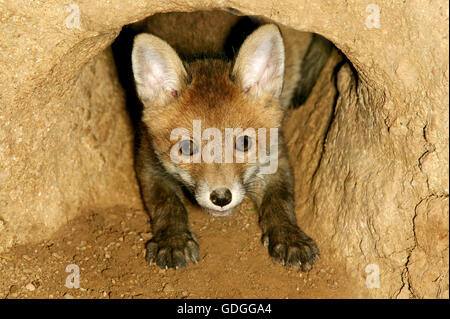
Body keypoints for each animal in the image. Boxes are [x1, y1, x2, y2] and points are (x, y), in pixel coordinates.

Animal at [128, 10, 332, 272]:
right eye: (187, 147)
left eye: (244, 143)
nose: (221, 198)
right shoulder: (149, 161)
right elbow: (167, 204)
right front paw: (173, 240)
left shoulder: (275, 158)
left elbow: (280, 200)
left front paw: (289, 237)